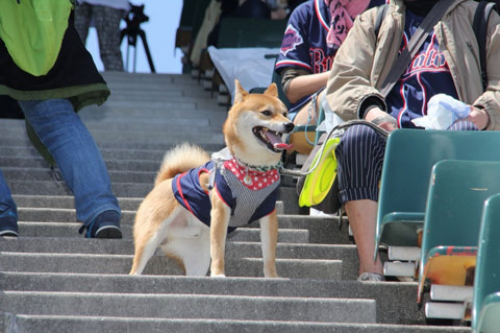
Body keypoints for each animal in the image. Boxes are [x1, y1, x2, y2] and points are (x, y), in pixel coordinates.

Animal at [129, 79, 294, 276]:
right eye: (266, 113)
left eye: (285, 113)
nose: (290, 125)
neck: (253, 168)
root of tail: (163, 182)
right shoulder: (221, 210)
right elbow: (218, 250)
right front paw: (219, 275)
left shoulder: (268, 213)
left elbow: (269, 255)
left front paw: (272, 277)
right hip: (150, 238)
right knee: (135, 269)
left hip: (197, 258)